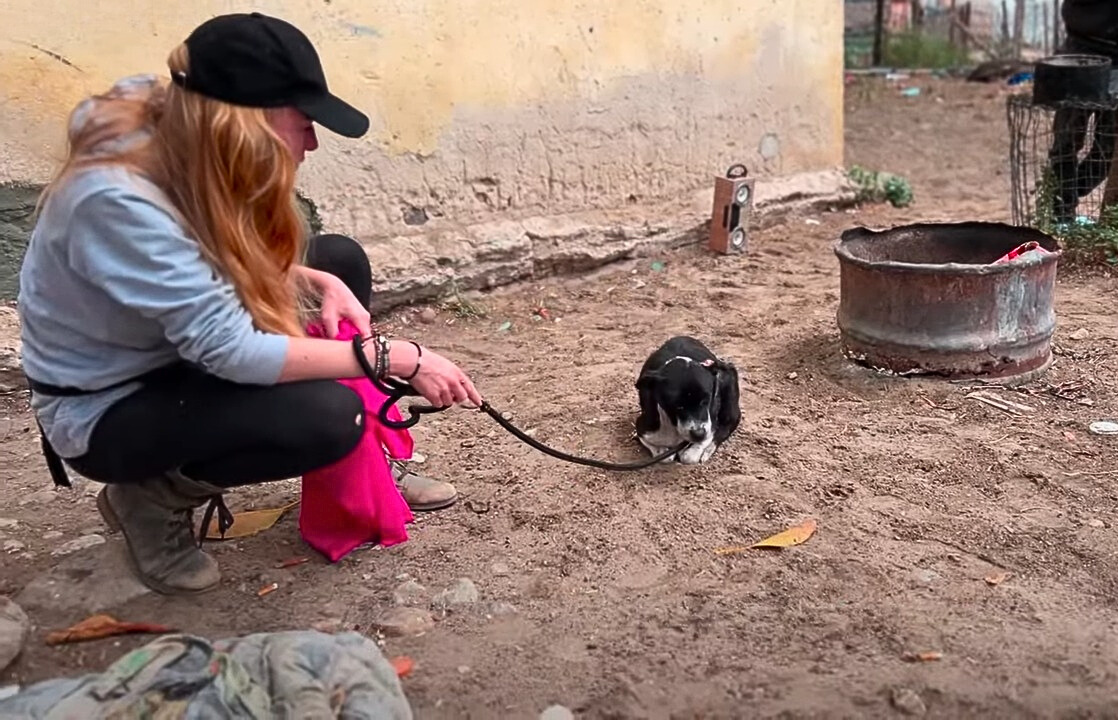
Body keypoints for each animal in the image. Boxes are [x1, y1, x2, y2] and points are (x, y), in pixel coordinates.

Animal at [635, 335, 737, 465]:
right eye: (678, 406)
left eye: (706, 400)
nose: (699, 434)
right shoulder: (642, 428)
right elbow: (665, 456)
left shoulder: (711, 425)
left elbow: (690, 455)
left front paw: (692, 450)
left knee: (727, 426)